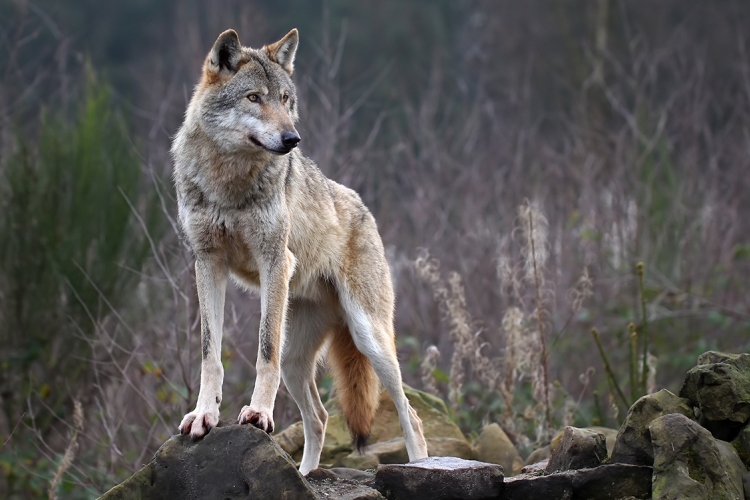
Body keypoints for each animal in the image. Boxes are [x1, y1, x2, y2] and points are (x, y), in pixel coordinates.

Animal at [171, 29, 428, 474]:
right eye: (254, 98)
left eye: (285, 99)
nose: (293, 139)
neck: (228, 181)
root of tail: (364, 208)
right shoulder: (207, 263)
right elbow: (210, 355)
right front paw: (204, 415)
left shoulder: (275, 260)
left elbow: (263, 351)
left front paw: (258, 414)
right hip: (298, 361)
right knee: (320, 418)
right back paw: (305, 475)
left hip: (370, 338)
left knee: (409, 414)